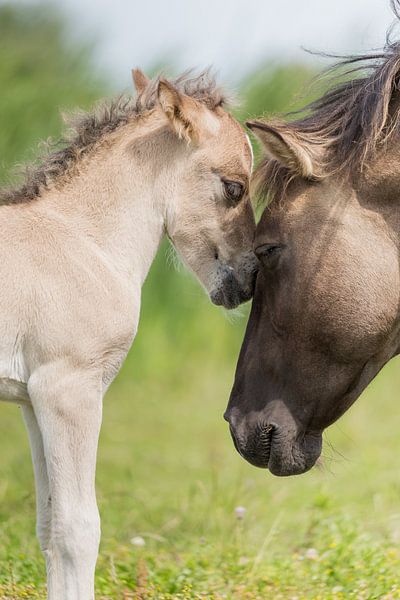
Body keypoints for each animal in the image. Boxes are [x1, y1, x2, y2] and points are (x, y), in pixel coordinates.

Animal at [0, 71, 256, 600]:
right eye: (234, 187)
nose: (249, 280)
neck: (81, 242)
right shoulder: (69, 391)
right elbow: (78, 530)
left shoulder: (32, 400)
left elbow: (48, 527)